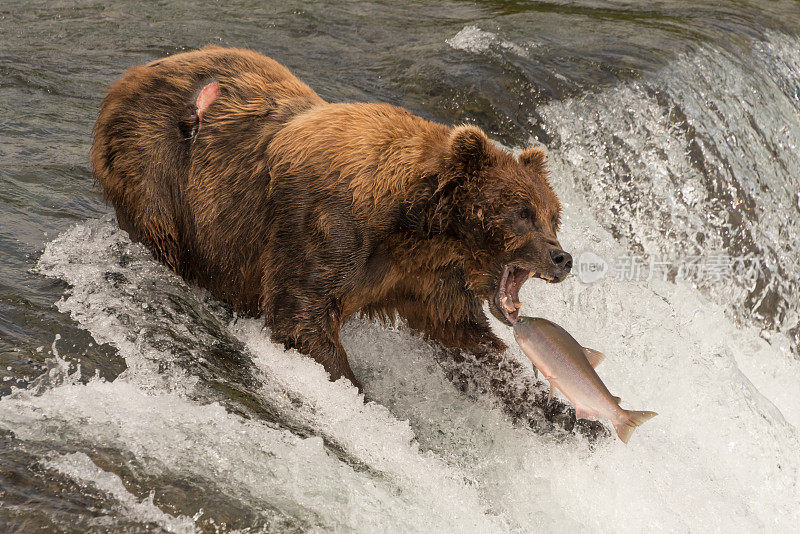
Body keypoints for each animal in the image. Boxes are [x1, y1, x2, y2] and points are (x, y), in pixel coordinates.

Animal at [90, 46, 572, 390]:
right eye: (522, 213)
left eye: (553, 216)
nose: (562, 258)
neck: (416, 224)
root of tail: (132, 74)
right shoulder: (326, 226)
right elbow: (301, 316)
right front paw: (355, 389)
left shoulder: (424, 276)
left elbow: (464, 334)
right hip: (156, 169)